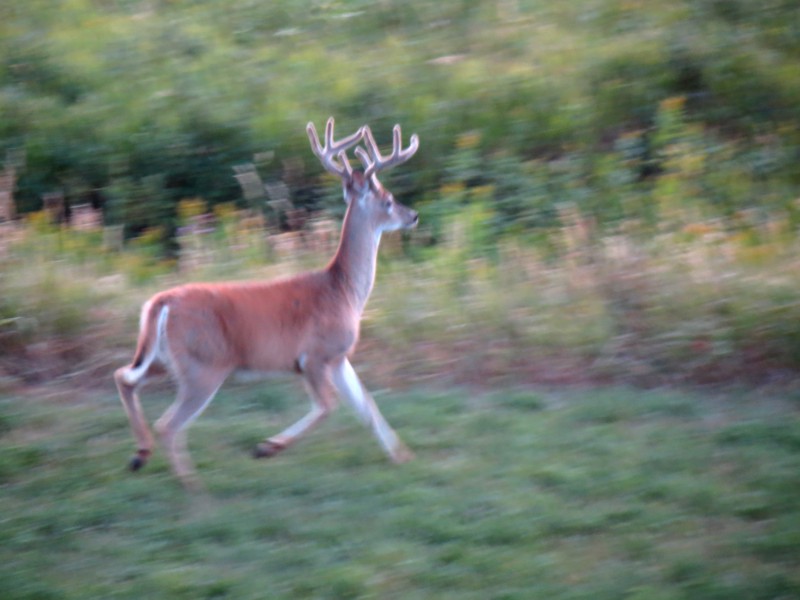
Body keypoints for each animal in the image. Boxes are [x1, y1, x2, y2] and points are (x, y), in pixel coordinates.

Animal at [117, 117, 424, 488]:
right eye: (389, 200)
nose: (414, 215)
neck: (343, 291)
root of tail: (160, 301)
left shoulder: (338, 356)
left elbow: (366, 404)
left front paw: (402, 456)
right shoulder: (314, 355)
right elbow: (328, 406)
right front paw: (266, 447)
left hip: (165, 358)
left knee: (124, 377)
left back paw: (140, 455)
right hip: (204, 365)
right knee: (168, 423)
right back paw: (192, 487)